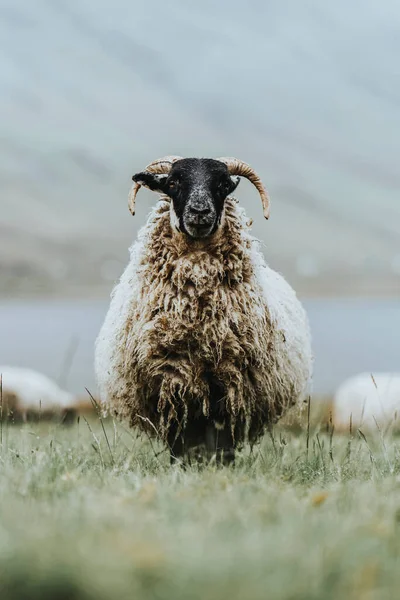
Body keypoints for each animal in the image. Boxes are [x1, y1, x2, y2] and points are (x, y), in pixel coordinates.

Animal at [95, 156, 314, 464]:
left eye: (222, 184)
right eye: (172, 183)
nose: (200, 211)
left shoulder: (231, 385)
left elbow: (223, 437)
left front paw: (221, 466)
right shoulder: (170, 382)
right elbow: (178, 438)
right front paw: (180, 467)